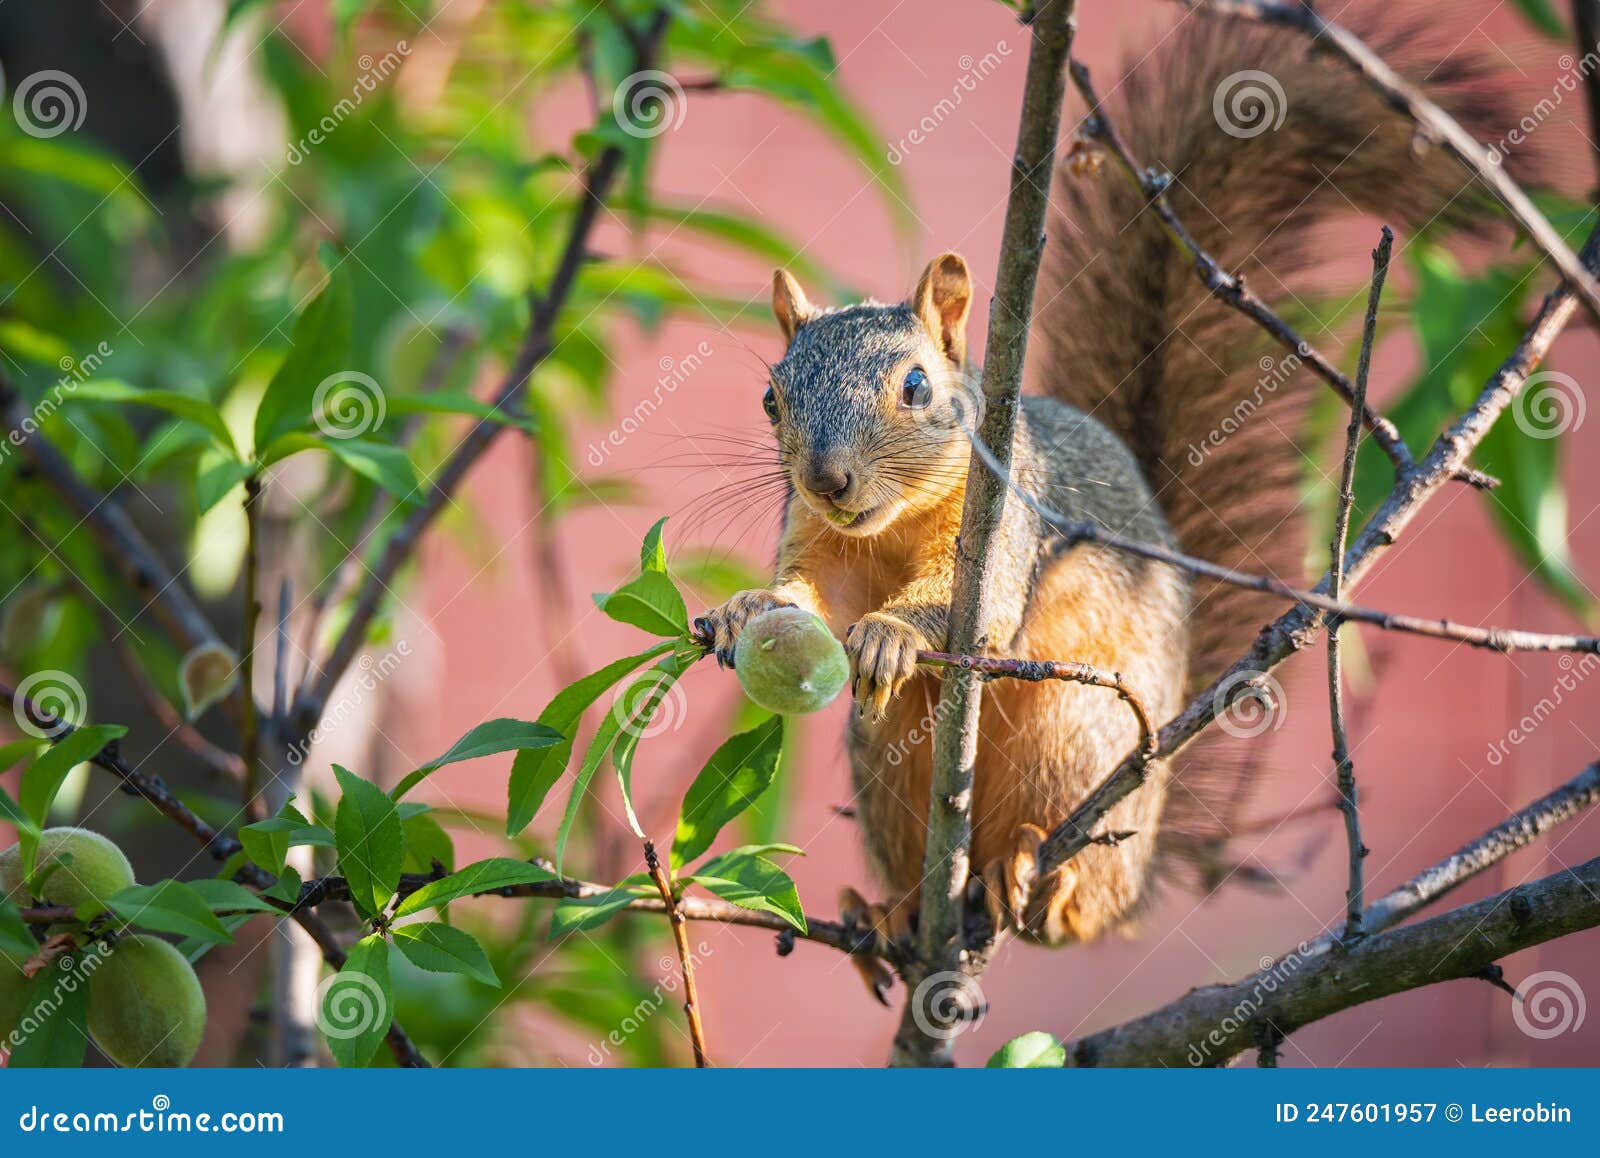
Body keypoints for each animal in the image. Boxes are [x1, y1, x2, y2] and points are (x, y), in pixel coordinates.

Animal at [695, 12, 1531, 990]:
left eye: (915, 387)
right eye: (771, 399)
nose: (828, 481)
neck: (894, 526)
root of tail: (1142, 865)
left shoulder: (1009, 523)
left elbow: (973, 611)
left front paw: (893, 633)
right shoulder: (816, 540)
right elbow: (806, 598)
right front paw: (749, 606)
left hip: (1075, 729)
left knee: (1068, 891)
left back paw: (1030, 868)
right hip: (889, 770)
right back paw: (893, 910)